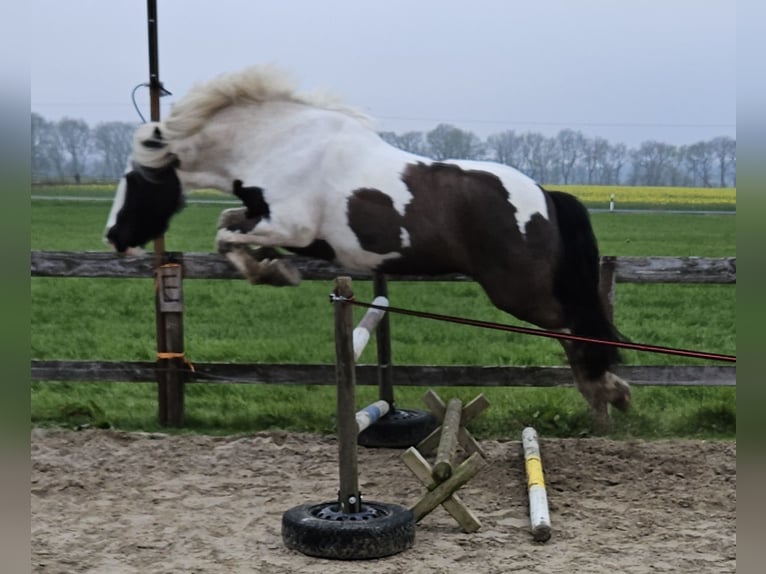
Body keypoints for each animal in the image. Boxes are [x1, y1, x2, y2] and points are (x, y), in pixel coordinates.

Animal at [105, 66, 632, 428]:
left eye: (136, 179)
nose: (114, 238)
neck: (278, 143)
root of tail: (546, 195)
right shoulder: (266, 217)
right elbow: (227, 225)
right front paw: (272, 268)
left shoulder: (291, 227)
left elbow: (228, 237)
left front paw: (274, 271)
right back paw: (606, 394)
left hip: (520, 293)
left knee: (573, 329)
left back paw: (608, 391)